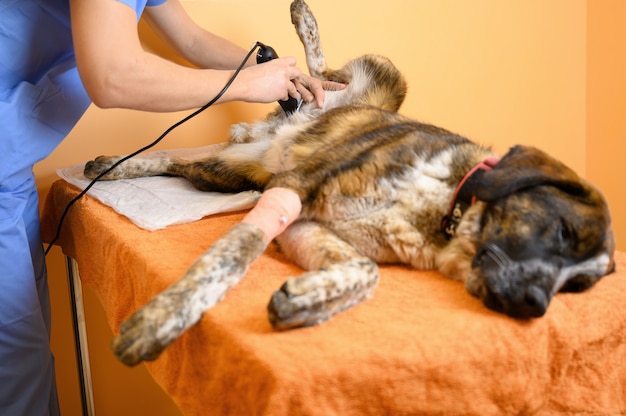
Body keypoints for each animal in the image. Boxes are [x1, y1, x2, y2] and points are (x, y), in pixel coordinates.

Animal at [83, 0, 616, 366]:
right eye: (564, 231)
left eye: (579, 287)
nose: (534, 307)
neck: (445, 208)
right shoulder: (295, 190)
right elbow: (230, 259)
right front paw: (160, 323)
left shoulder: (304, 224)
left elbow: (367, 271)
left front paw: (305, 302)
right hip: (386, 76)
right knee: (317, 72)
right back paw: (303, 23)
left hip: (231, 174)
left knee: (173, 160)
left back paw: (113, 165)